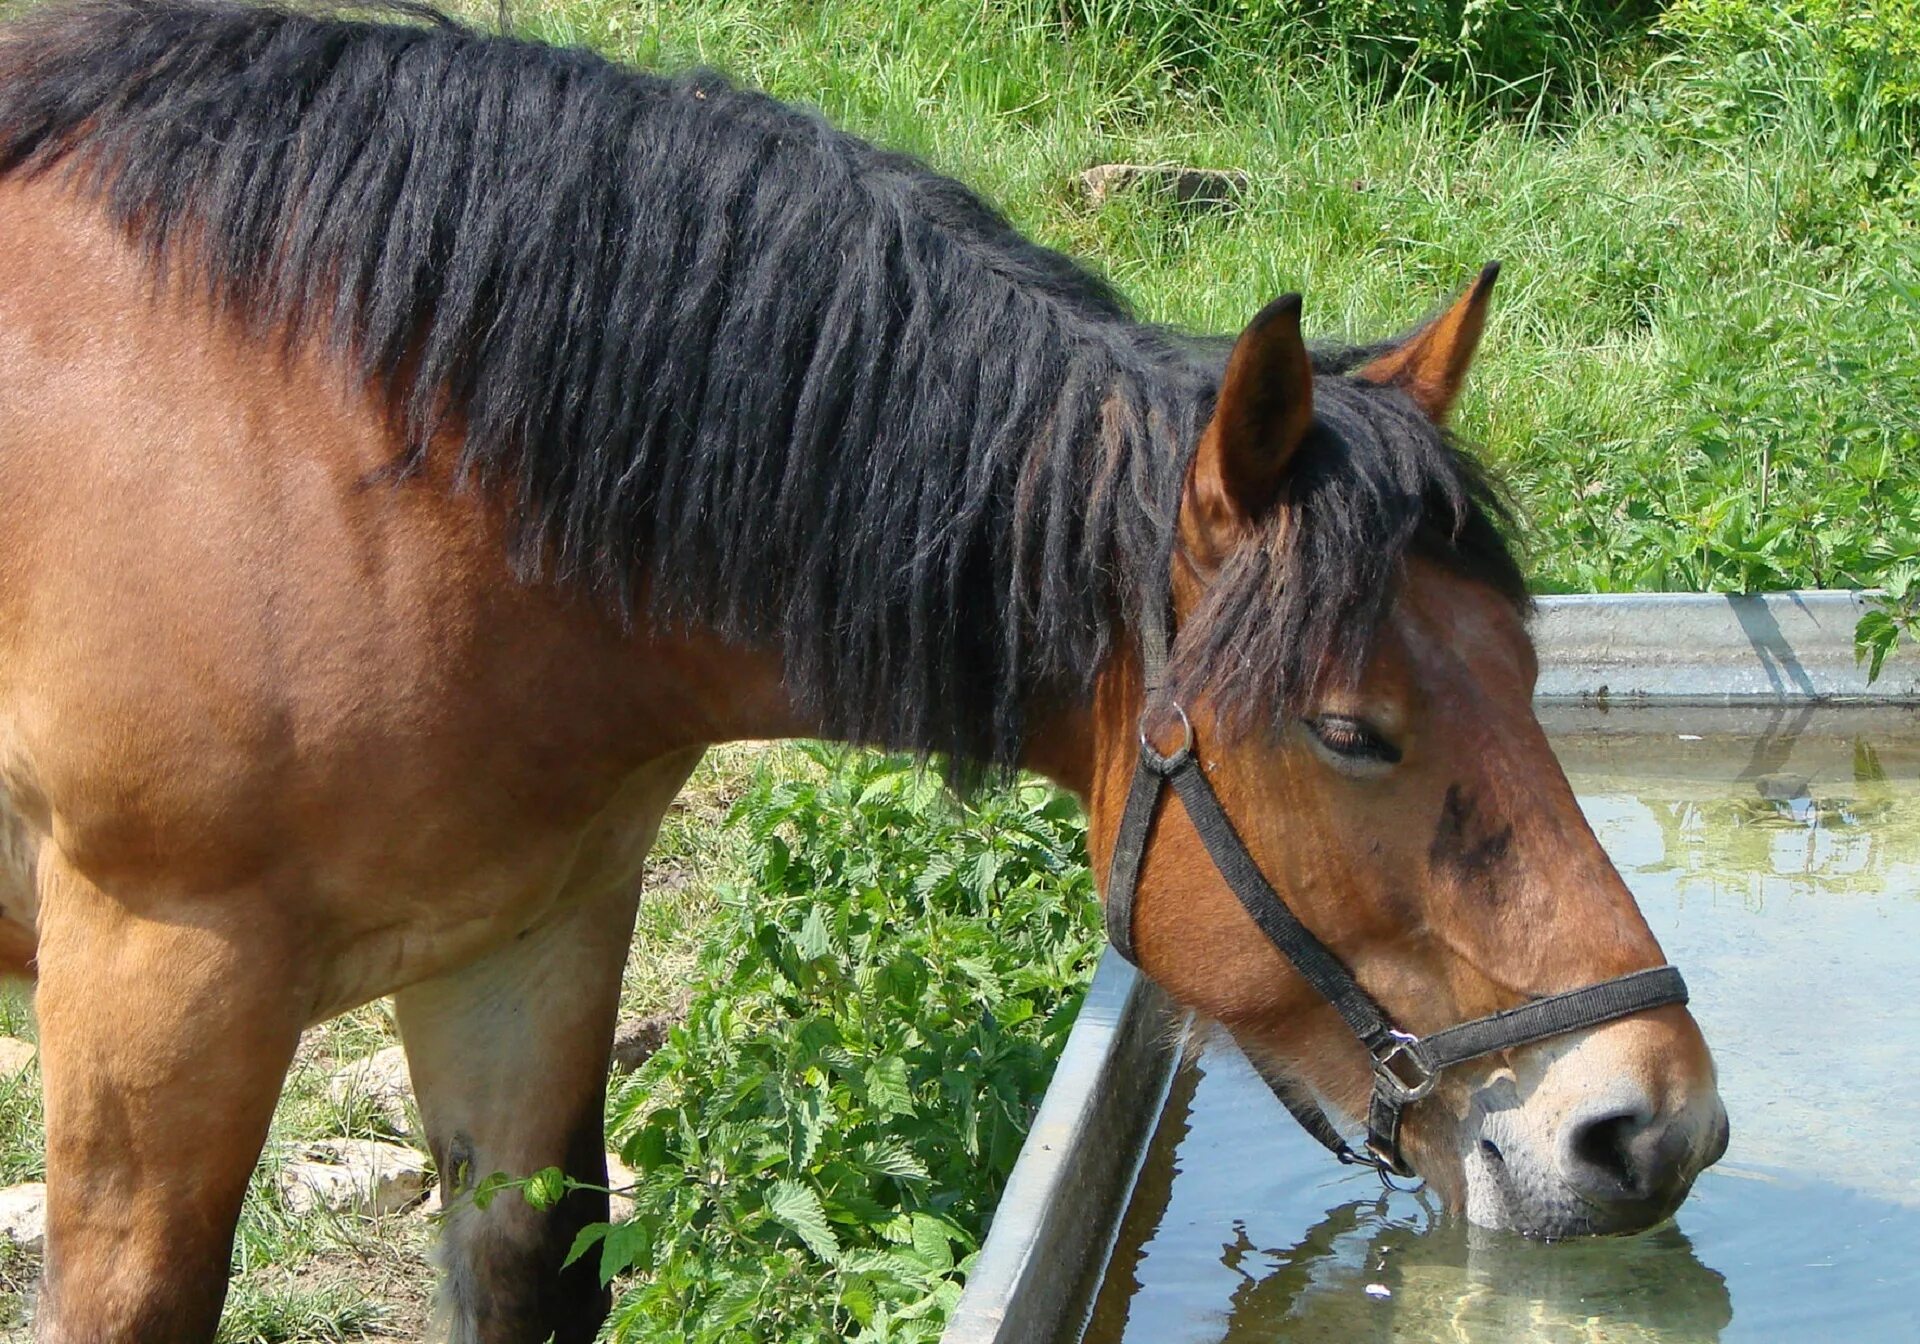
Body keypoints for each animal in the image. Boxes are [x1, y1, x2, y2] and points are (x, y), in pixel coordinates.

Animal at [0, 2, 1728, 1344]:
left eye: (1529, 667)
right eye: (1351, 730)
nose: (1652, 1126)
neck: (357, 449)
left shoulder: (526, 939)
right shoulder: (162, 976)